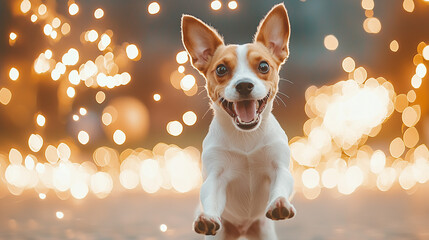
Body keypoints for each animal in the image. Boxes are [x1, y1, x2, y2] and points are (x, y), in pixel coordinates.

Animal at [180, 3, 294, 240]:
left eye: (263, 66)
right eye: (221, 69)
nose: (243, 85)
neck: (246, 136)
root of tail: (243, 228)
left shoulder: (279, 168)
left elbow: (281, 185)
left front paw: (279, 202)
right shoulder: (216, 178)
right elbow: (210, 197)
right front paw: (207, 217)